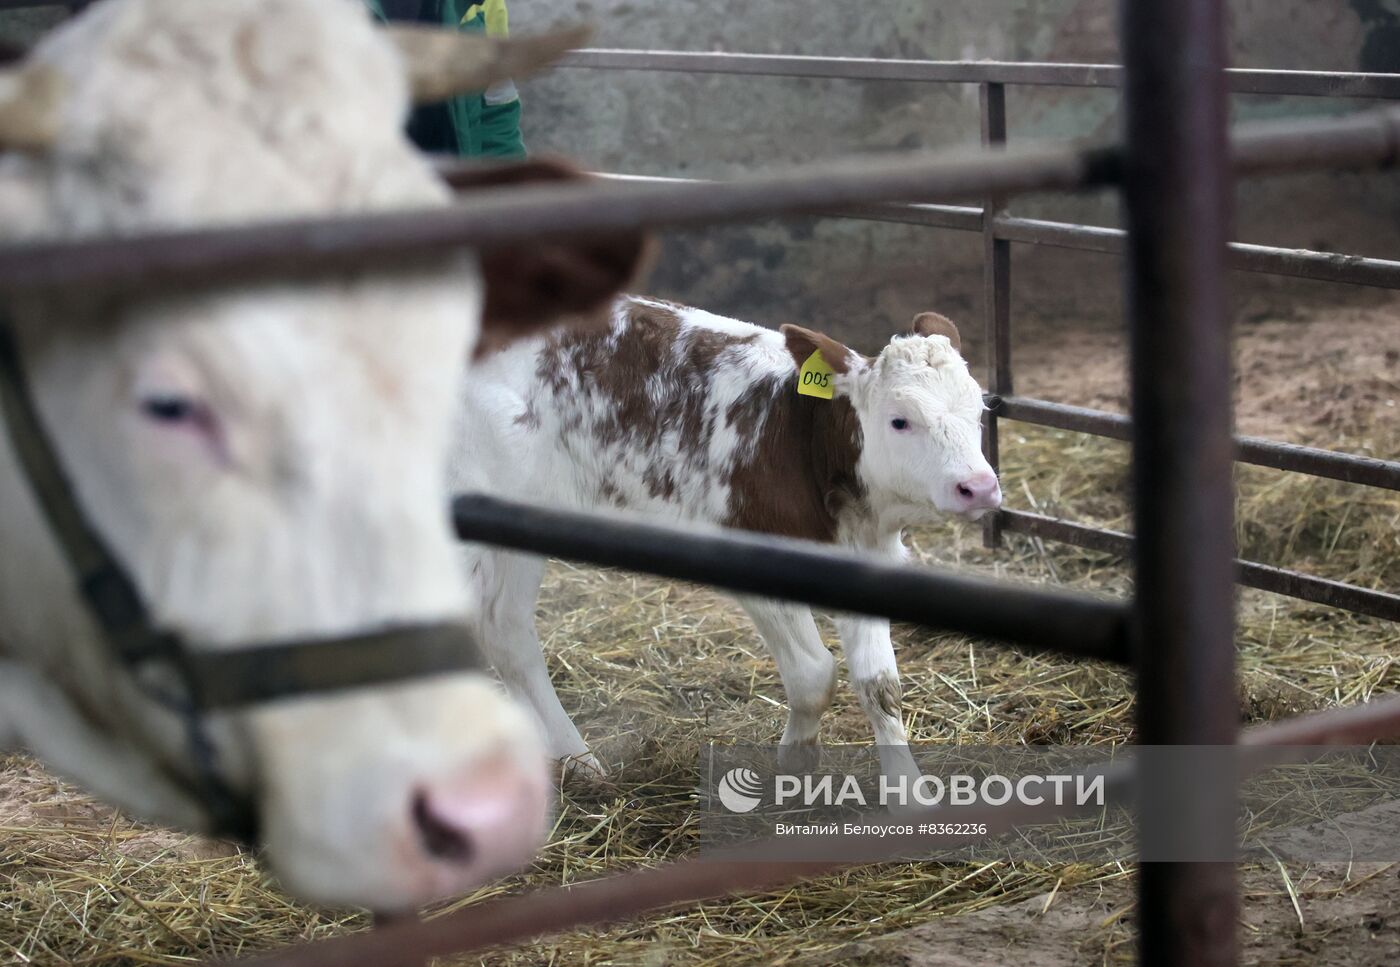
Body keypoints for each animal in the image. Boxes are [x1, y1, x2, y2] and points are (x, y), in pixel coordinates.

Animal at [456, 299, 996, 783]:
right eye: (900, 420)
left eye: (979, 411)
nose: (979, 486)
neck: (799, 440)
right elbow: (814, 674)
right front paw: (797, 758)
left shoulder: (867, 556)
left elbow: (880, 685)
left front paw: (908, 792)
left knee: (505, 629)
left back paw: (571, 760)